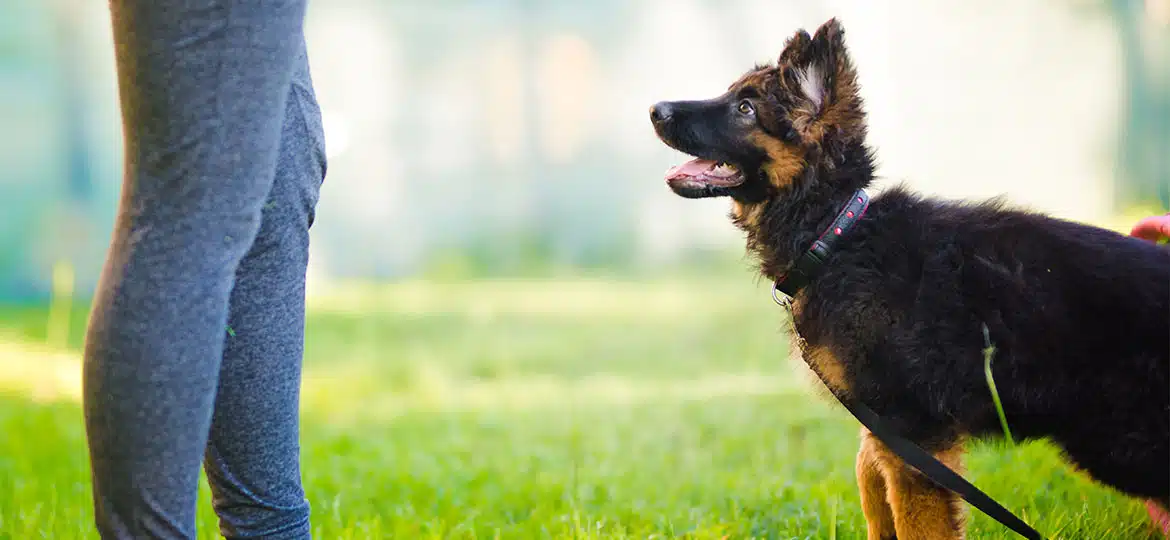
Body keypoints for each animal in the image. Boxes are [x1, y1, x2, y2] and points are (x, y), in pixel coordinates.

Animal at [650, 16, 1170, 540]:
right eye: (735, 96)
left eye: (745, 108)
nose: (655, 109)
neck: (835, 234)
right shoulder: (883, 429)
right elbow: (869, 482)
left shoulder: (914, 431)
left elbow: (914, 520)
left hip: (1119, 442)